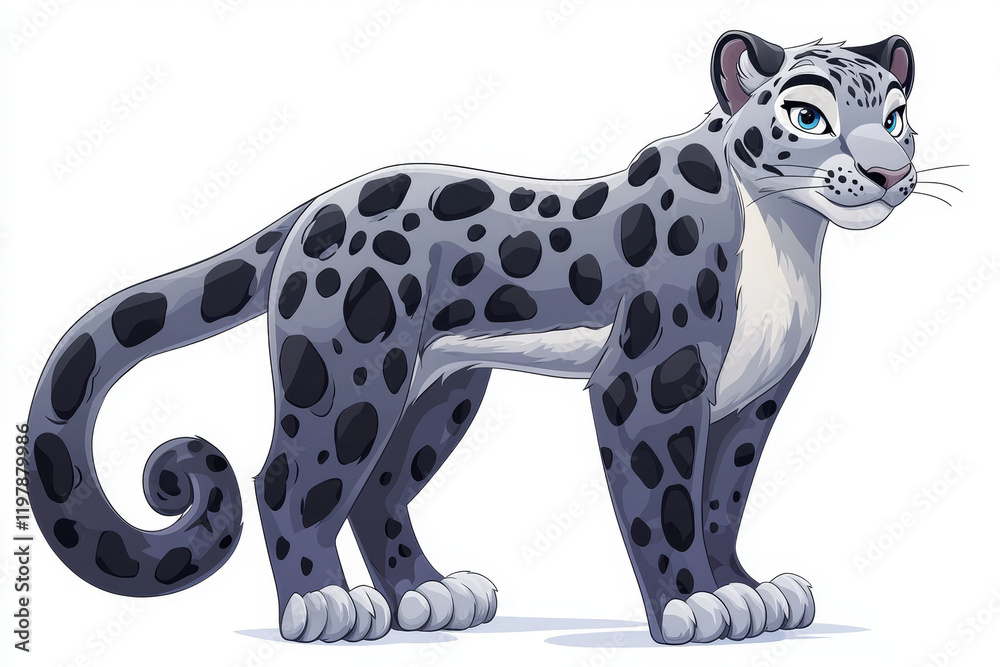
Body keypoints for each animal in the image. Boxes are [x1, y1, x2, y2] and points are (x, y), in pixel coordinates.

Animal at [27, 31, 919, 644]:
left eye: (897, 116)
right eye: (808, 115)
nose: (888, 172)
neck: (789, 242)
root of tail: (315, 205)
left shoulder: (753, 400)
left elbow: (722, 499)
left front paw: (748, 587)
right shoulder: (651, 384)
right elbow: (666, 502)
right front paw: (694, 603)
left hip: (441, 389)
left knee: (379, 488)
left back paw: (429, 593)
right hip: (351, 375)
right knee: (290, 478)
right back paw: (323, 603)